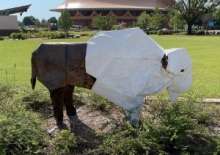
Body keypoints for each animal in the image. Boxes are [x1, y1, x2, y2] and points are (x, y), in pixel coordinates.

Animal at [31, 27, 192, 128]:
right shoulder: (131, 94)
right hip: (55, 86)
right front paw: (135, 125)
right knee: (56, 101)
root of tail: (37, 50)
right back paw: (60, 122)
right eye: (182, 70)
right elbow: (135, 109)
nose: (187, 86)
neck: (156, 63)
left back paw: (72, 113)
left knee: (68, 95)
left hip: (69, 82)